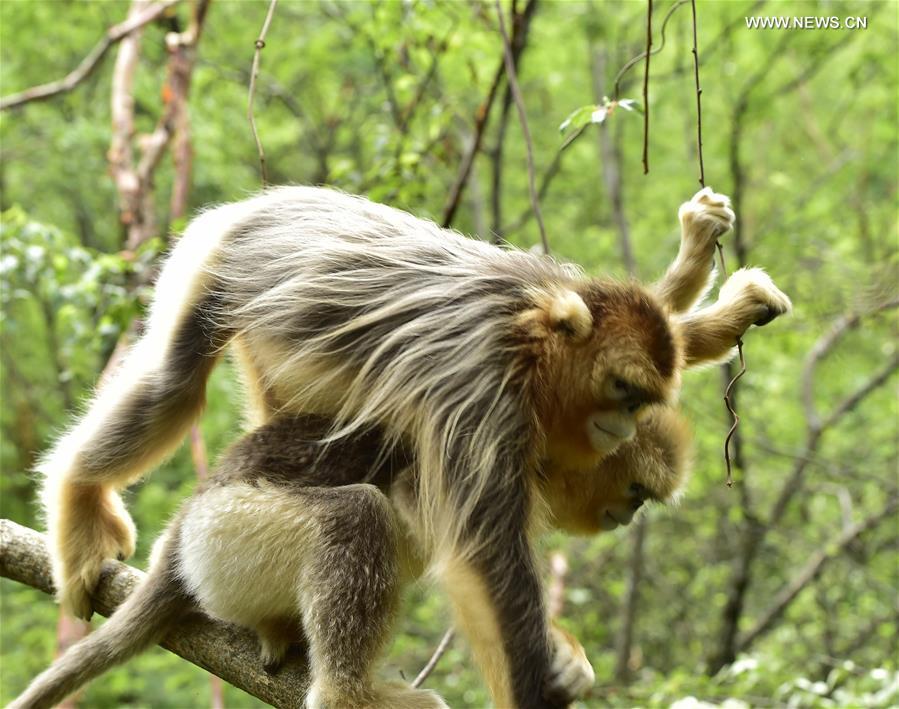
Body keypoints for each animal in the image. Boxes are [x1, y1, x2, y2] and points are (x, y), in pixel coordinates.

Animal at [40, 185, 788, 704]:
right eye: (623, 393)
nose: (627, 511)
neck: (527, 324)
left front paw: (714, 301)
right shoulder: (480, 394)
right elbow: (481, 563)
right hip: (226, 519)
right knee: (195, 400)